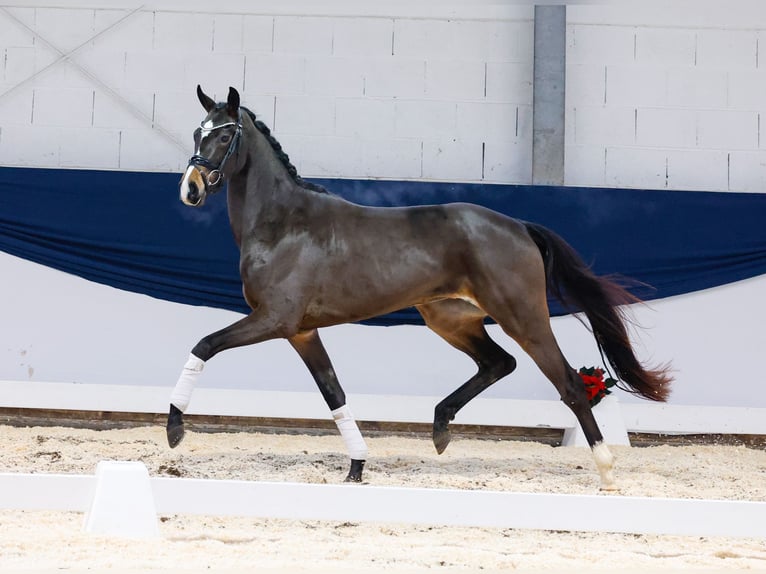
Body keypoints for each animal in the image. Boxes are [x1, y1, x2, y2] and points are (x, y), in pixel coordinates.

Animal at [168, 85, 672, 490]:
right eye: (196, 133)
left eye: (224, 135)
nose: (190, 189)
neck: (283, 224)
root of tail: (519, 227)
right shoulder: (302, 331)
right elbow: (334, 395)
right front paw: (356, 468)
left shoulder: (274, 319)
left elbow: (204, 345)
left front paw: (174, 428)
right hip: (450, 319)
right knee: (498, 363)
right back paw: (440, 429)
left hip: (522, 317)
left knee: (568, 383)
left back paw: (606, 472)